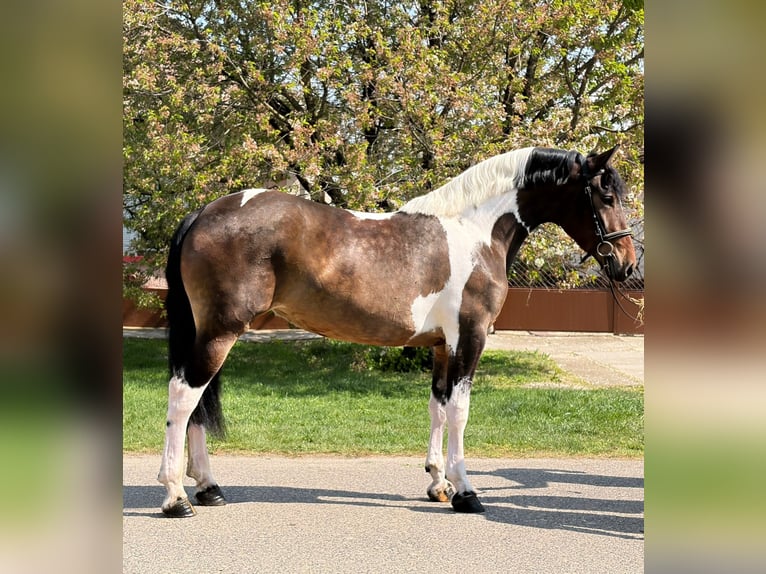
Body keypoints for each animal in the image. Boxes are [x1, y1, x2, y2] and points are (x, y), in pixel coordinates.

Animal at [157, 145, 636, 517]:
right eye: (606, 193)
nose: (627, 264)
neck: (475, 232)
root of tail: (203, 212)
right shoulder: (470, 338)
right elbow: (460, 411)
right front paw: (466, 492)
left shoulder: (442, 345)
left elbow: (438, 407)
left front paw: (438, 484)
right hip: (220, 332)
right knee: (184, 397)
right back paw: (176, 496)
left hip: (210, 332)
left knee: (195, 403)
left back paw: (209, 488)